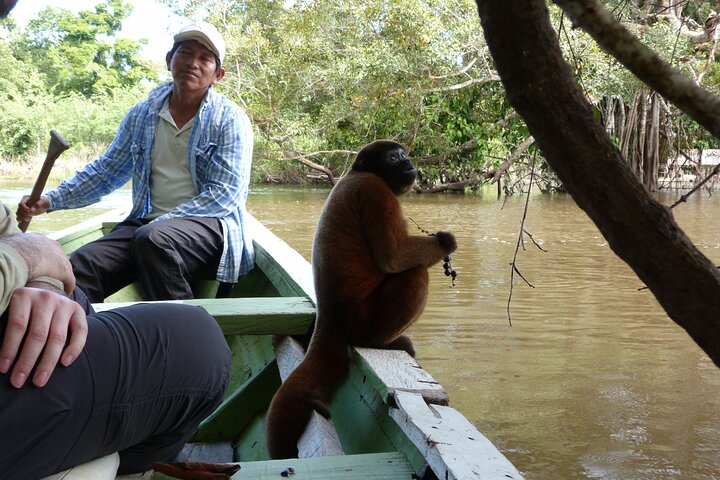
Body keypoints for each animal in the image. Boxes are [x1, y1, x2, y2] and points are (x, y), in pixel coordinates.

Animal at [264, 139, 456, 458]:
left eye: (403, 155)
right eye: (394, 158)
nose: (408, 162)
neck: (359, 173)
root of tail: (329, 315)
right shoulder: (376, 193)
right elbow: (394, 257)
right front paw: (444, 242)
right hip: (364, 320)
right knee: (414, 273)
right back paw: (381, 342)